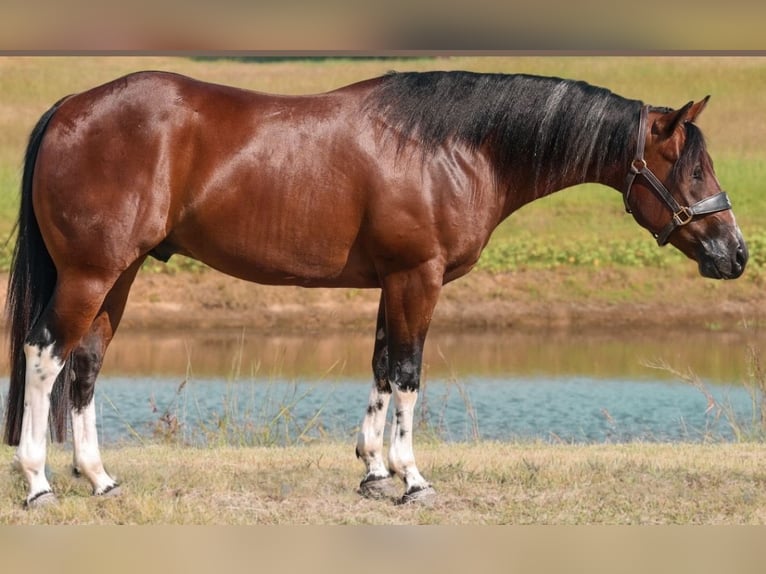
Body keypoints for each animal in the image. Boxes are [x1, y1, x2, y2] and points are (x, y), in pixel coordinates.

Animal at [3, 70, 747, 507]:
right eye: (692, 170)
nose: (736, 254)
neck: (451, 148)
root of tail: (72, 107)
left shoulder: (394, 281)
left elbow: (383, 367)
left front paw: (372, 469)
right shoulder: (418, 277)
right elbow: (410, 374)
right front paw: (412, 478)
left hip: (119, 274)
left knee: (85, 365)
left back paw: (99, 479)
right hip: (91, 273)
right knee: (43, 357)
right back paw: (38, 482)